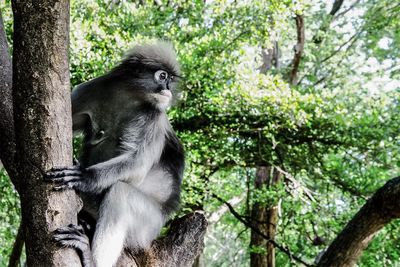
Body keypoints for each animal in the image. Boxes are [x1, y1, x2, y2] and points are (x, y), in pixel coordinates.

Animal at [44, 42, 185, 267]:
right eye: (162, 76)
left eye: (170, 79)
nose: (168, 89)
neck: (130, 96)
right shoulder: (93, 88)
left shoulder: (154, 117)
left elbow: (137, 165)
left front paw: (85, 176)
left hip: (147, 227)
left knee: (121, 192)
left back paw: (90, 257)